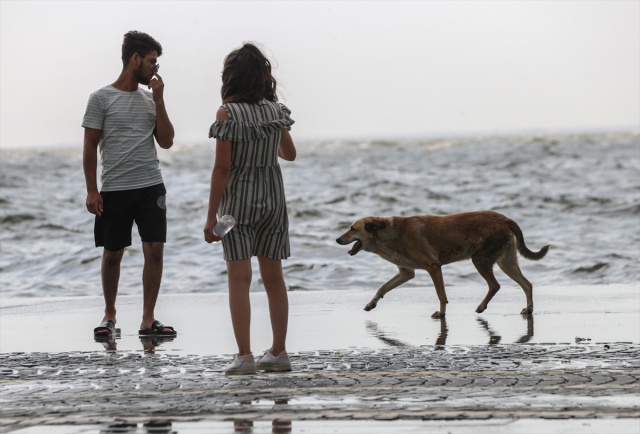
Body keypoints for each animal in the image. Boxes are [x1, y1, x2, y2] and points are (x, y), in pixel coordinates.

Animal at [336, 211, 552, 318]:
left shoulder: (433, 267)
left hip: (480, 259)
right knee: (527, 284)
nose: (337, 239)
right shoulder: (407, 273)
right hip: (506, 262)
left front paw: (441, 313)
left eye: (352, 228)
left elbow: (441, 295)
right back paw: (528, 309)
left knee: (495, 285)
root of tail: (506, 219)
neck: (388, 233)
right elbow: (382, 287)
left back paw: (481, 307)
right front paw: (371, 303)